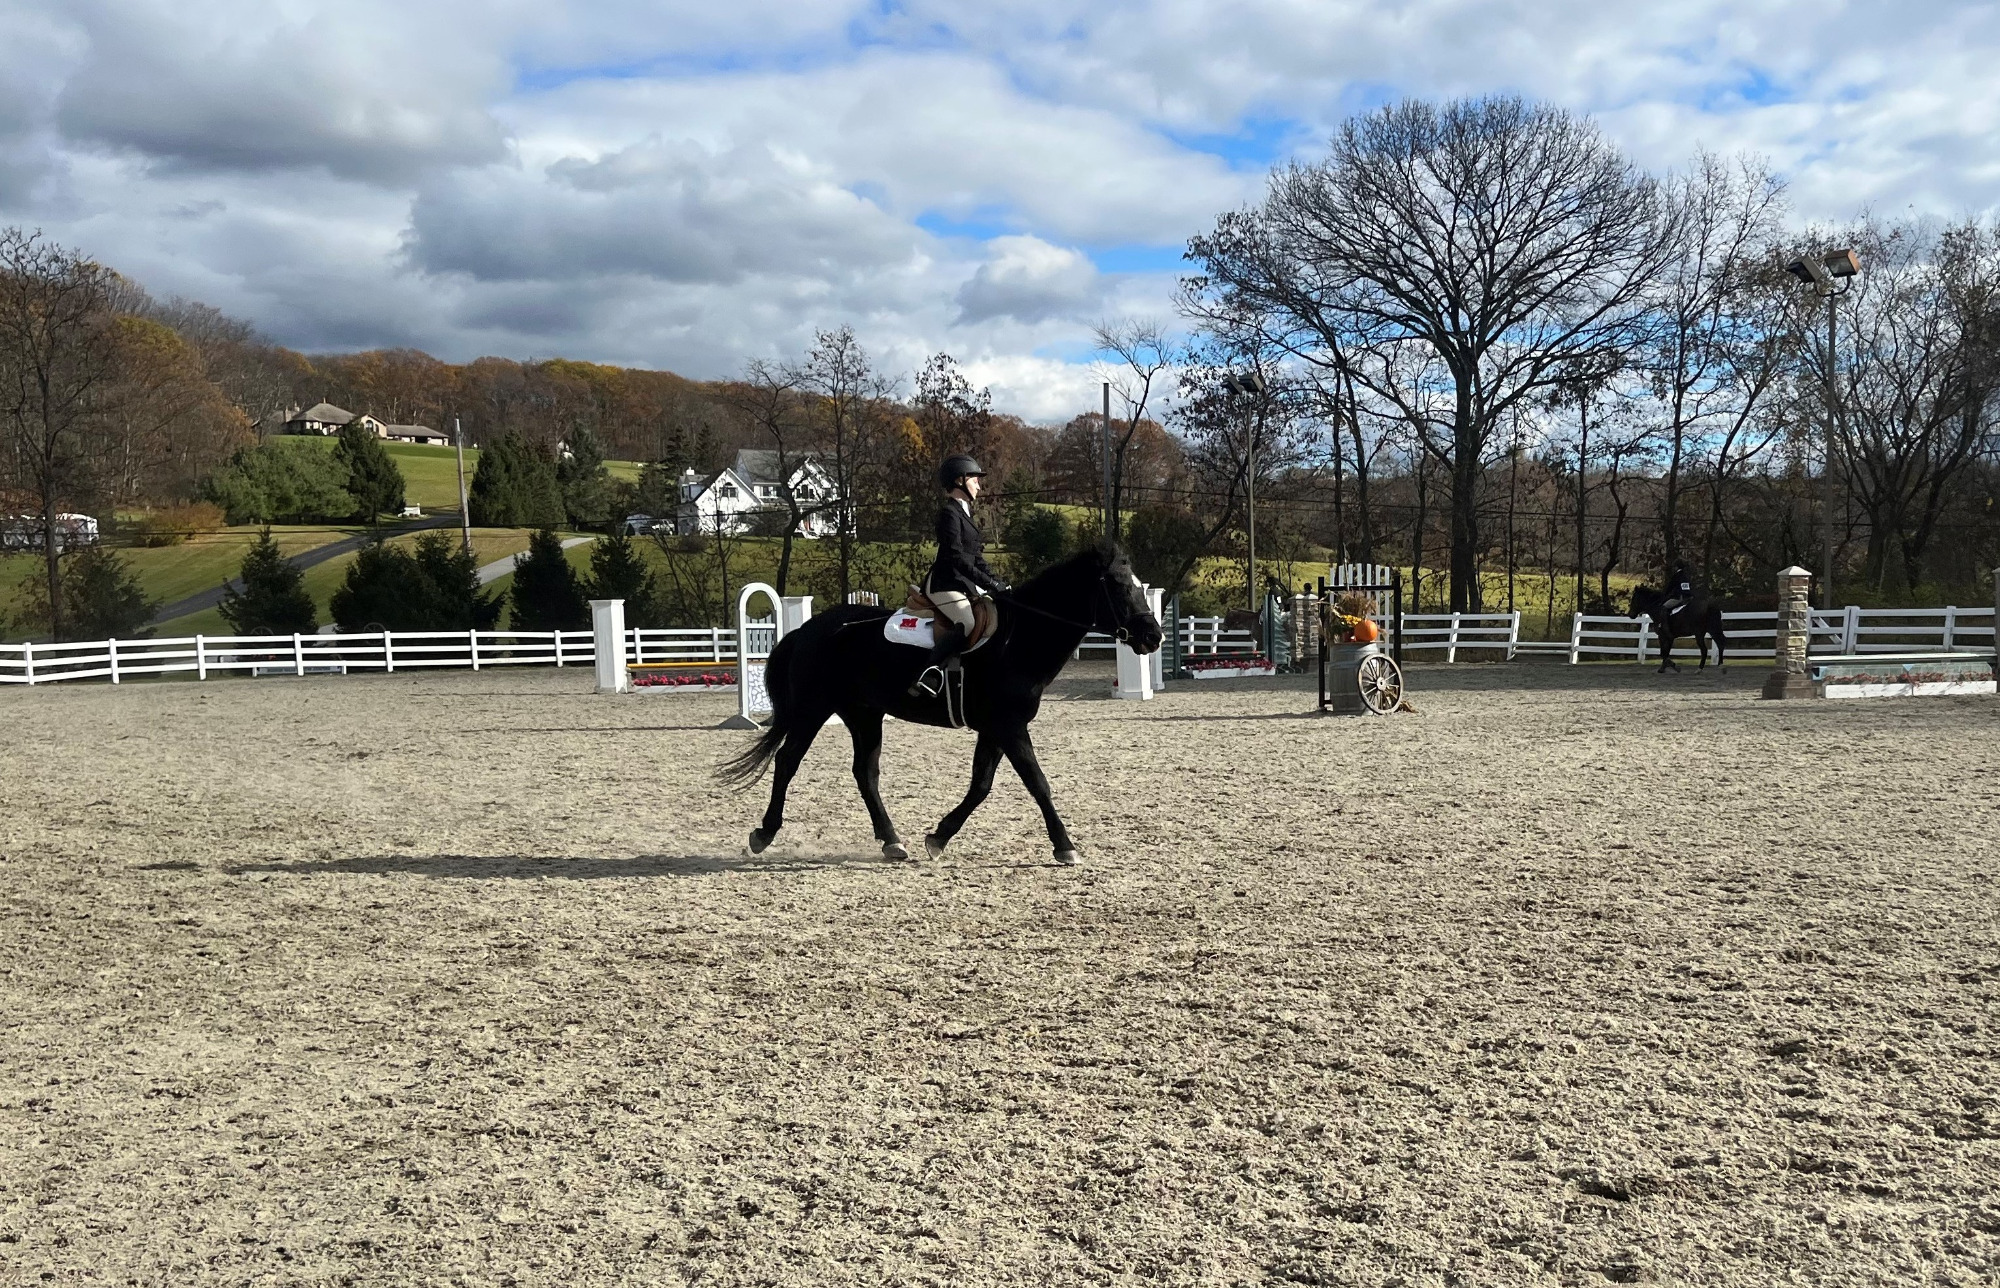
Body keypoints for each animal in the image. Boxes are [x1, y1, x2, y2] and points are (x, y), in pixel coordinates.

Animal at [719, 545, 1165, 867]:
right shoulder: (1009, 726)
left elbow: (981, 785)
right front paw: (1065, 845)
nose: (1153, 637)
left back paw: (892, 842)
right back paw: (764, 834)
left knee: (865, 774)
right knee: (787, 761)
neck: (1021, 638)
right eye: (1118, 585)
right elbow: (1038, 783)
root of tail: (809, 629)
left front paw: (938, 837)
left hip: (864, 715)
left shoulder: (996, 728)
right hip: (813, 710)